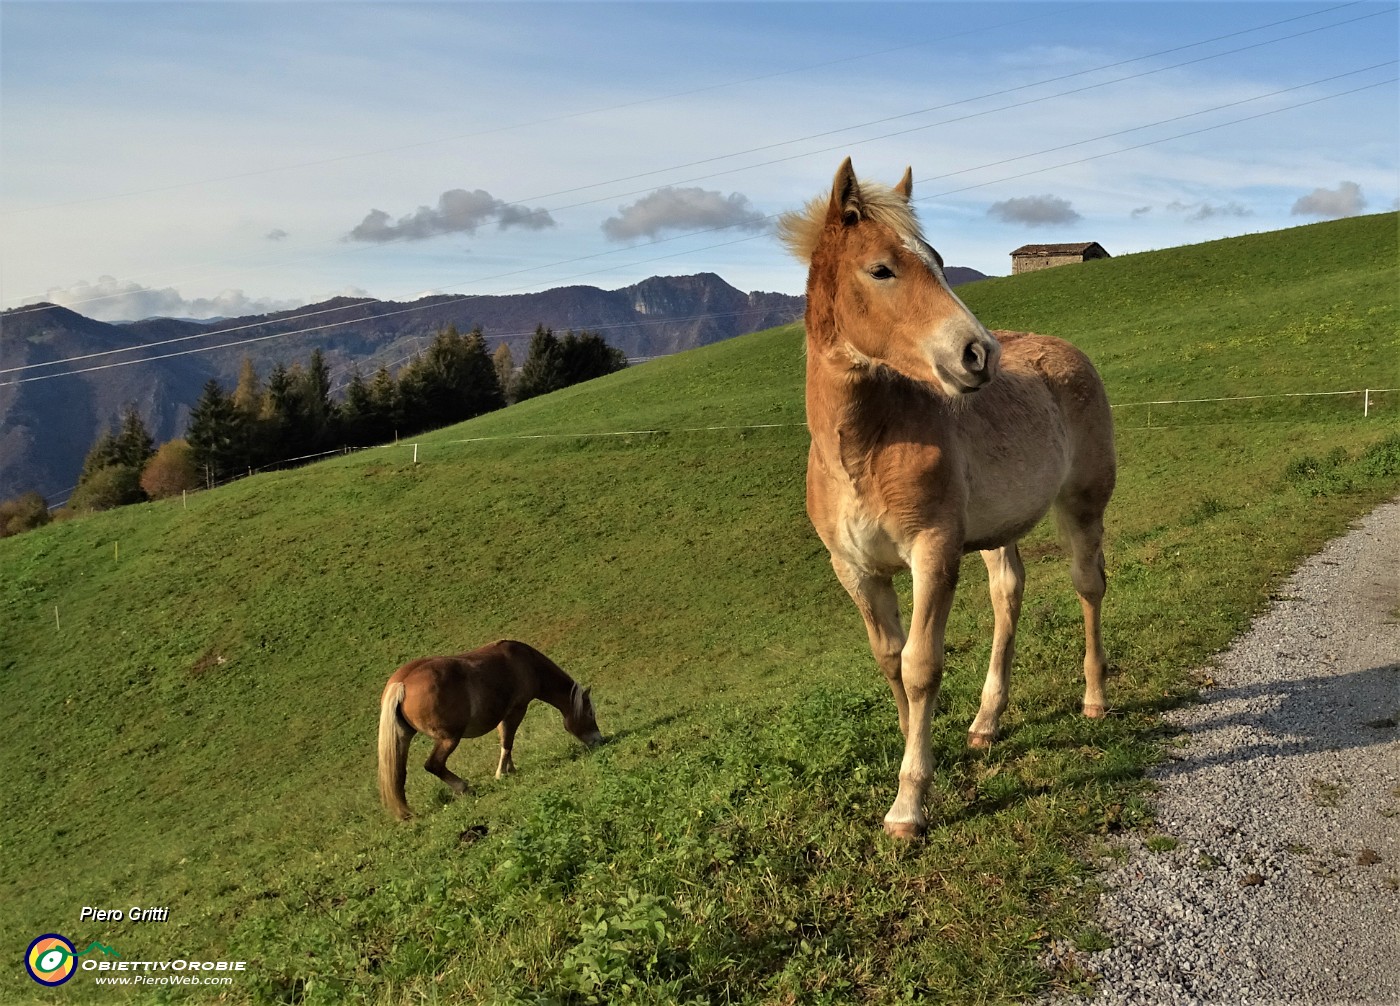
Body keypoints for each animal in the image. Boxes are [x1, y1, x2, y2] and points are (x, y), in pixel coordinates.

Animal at [378, 640, 602, 822]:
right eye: (590, 713)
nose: (599, 740)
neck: (526, 663)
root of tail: (402, 682)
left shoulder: (505, 715)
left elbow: (506, 741)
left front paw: (510, 769)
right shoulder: (516, 710)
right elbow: (507, 742)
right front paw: (501, 773)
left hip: (403, 740)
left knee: (399, 774)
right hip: (449, 739)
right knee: (433, 765)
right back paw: (463, 787)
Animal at [778, 161, 1114, 839]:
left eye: (935, 260)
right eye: (882, 269)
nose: (978, 353)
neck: (866, 446)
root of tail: (1069, 353)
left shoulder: (933, 554)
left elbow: (920, 666)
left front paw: (909, 804)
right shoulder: (856, 571)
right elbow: (891, 664)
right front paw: (924, 762)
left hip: (1082, 506)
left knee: (1088, 586)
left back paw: (1094, 697)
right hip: (993, 532)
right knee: (1008, 594)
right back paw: (987, 721)